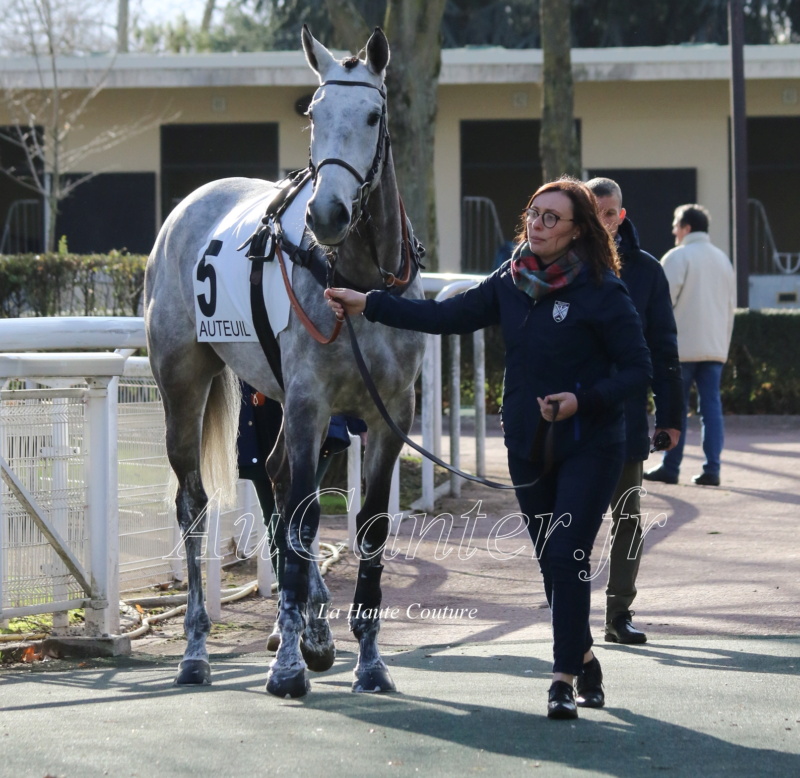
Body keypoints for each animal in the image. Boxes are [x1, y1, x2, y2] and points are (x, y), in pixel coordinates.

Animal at [147, 25, 428, 696]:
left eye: (373, 115)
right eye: (314, 114)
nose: (326, 214)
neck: (357, 285)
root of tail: (187, 207)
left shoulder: (389, 416)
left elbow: (368, 528)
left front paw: (368, 661)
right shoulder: (308, 404)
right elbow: (302, 520)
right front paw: (287, 668)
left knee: (274, 479)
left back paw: (310, 630)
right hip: (184, 382)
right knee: (196, 503)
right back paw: (197, 648)